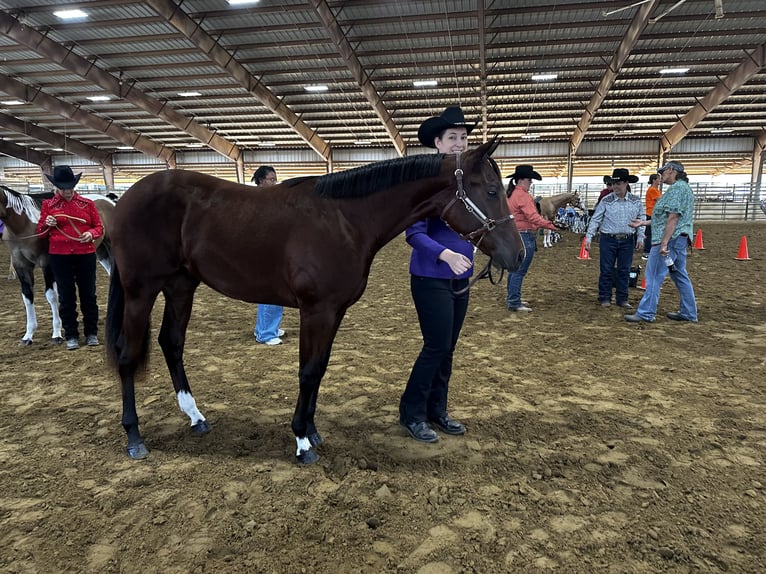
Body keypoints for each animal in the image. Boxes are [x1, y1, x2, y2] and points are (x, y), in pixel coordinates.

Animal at [106, 141, 528, 468]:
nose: (517, 254)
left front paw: (312, 430)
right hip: (141, 291)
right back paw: (134, 437)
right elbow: (307, 373)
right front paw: (301, 442)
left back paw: (195, 417)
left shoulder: (334, 311)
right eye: (492, 191)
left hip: (181, 286)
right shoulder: (316, 310)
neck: (345, 220)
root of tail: (126, 198)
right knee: (128, 355)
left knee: (171, 343)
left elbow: (320, 370)